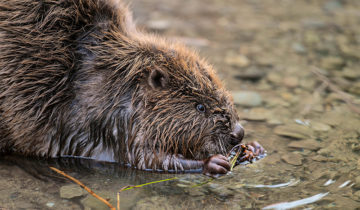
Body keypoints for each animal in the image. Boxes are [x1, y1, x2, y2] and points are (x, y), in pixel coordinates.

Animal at [0, 0, 264, 175]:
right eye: (199, 107)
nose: (238, 133)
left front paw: (253, 148)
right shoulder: (108, 122)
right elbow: (145, 159)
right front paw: (215, 162)